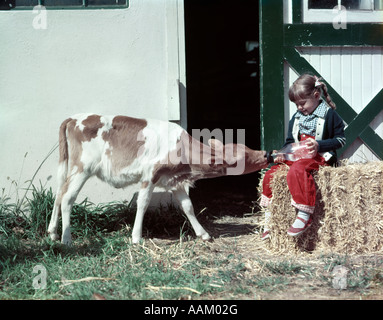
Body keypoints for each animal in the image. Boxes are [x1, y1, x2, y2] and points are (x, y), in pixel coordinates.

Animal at [48, 114, 270, 244]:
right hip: (82, 168)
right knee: (67, 198)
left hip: (71, 168)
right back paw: (66, 239)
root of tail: (74, 118)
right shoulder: (150, 174)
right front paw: (136, 237)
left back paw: (52, 232)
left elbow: (188, 206)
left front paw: (203, 233)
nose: (266, 154)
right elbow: (143, 203)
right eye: (243, 157)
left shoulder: (174, 180)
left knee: (59, 193)